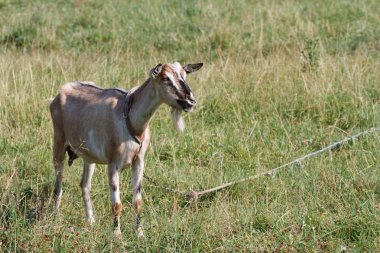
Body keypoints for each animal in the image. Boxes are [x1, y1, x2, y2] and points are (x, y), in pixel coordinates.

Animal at [49, 61, 203, 237]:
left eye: (184, 75)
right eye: (166, 78)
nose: (190, 101)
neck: (130, 119)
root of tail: (59, 94)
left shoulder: (139, 161)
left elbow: (138, 201)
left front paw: (140, 233)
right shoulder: (113, 164)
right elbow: (116, 204)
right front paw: (117, 235)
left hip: (89, 157)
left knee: (85, 185)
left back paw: (91, 221)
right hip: (59, 143)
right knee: (58, 185)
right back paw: (56, 218)